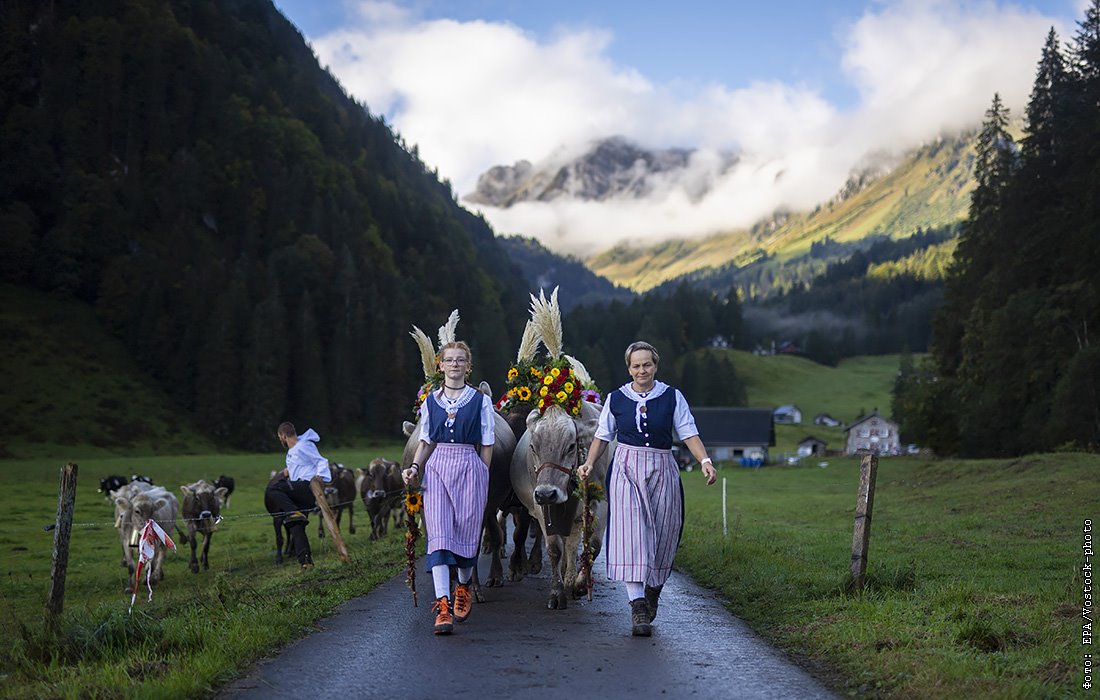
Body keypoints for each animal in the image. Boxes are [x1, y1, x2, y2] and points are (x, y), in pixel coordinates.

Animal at [510, 286, 616, 611]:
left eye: (571, 446)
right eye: (533, 446)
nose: (547, 493)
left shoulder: (600, 502)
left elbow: (592, 545)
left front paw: (580, 584)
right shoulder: (541, 508)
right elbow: (555, 548)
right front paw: (557, 592)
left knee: (576, 540)